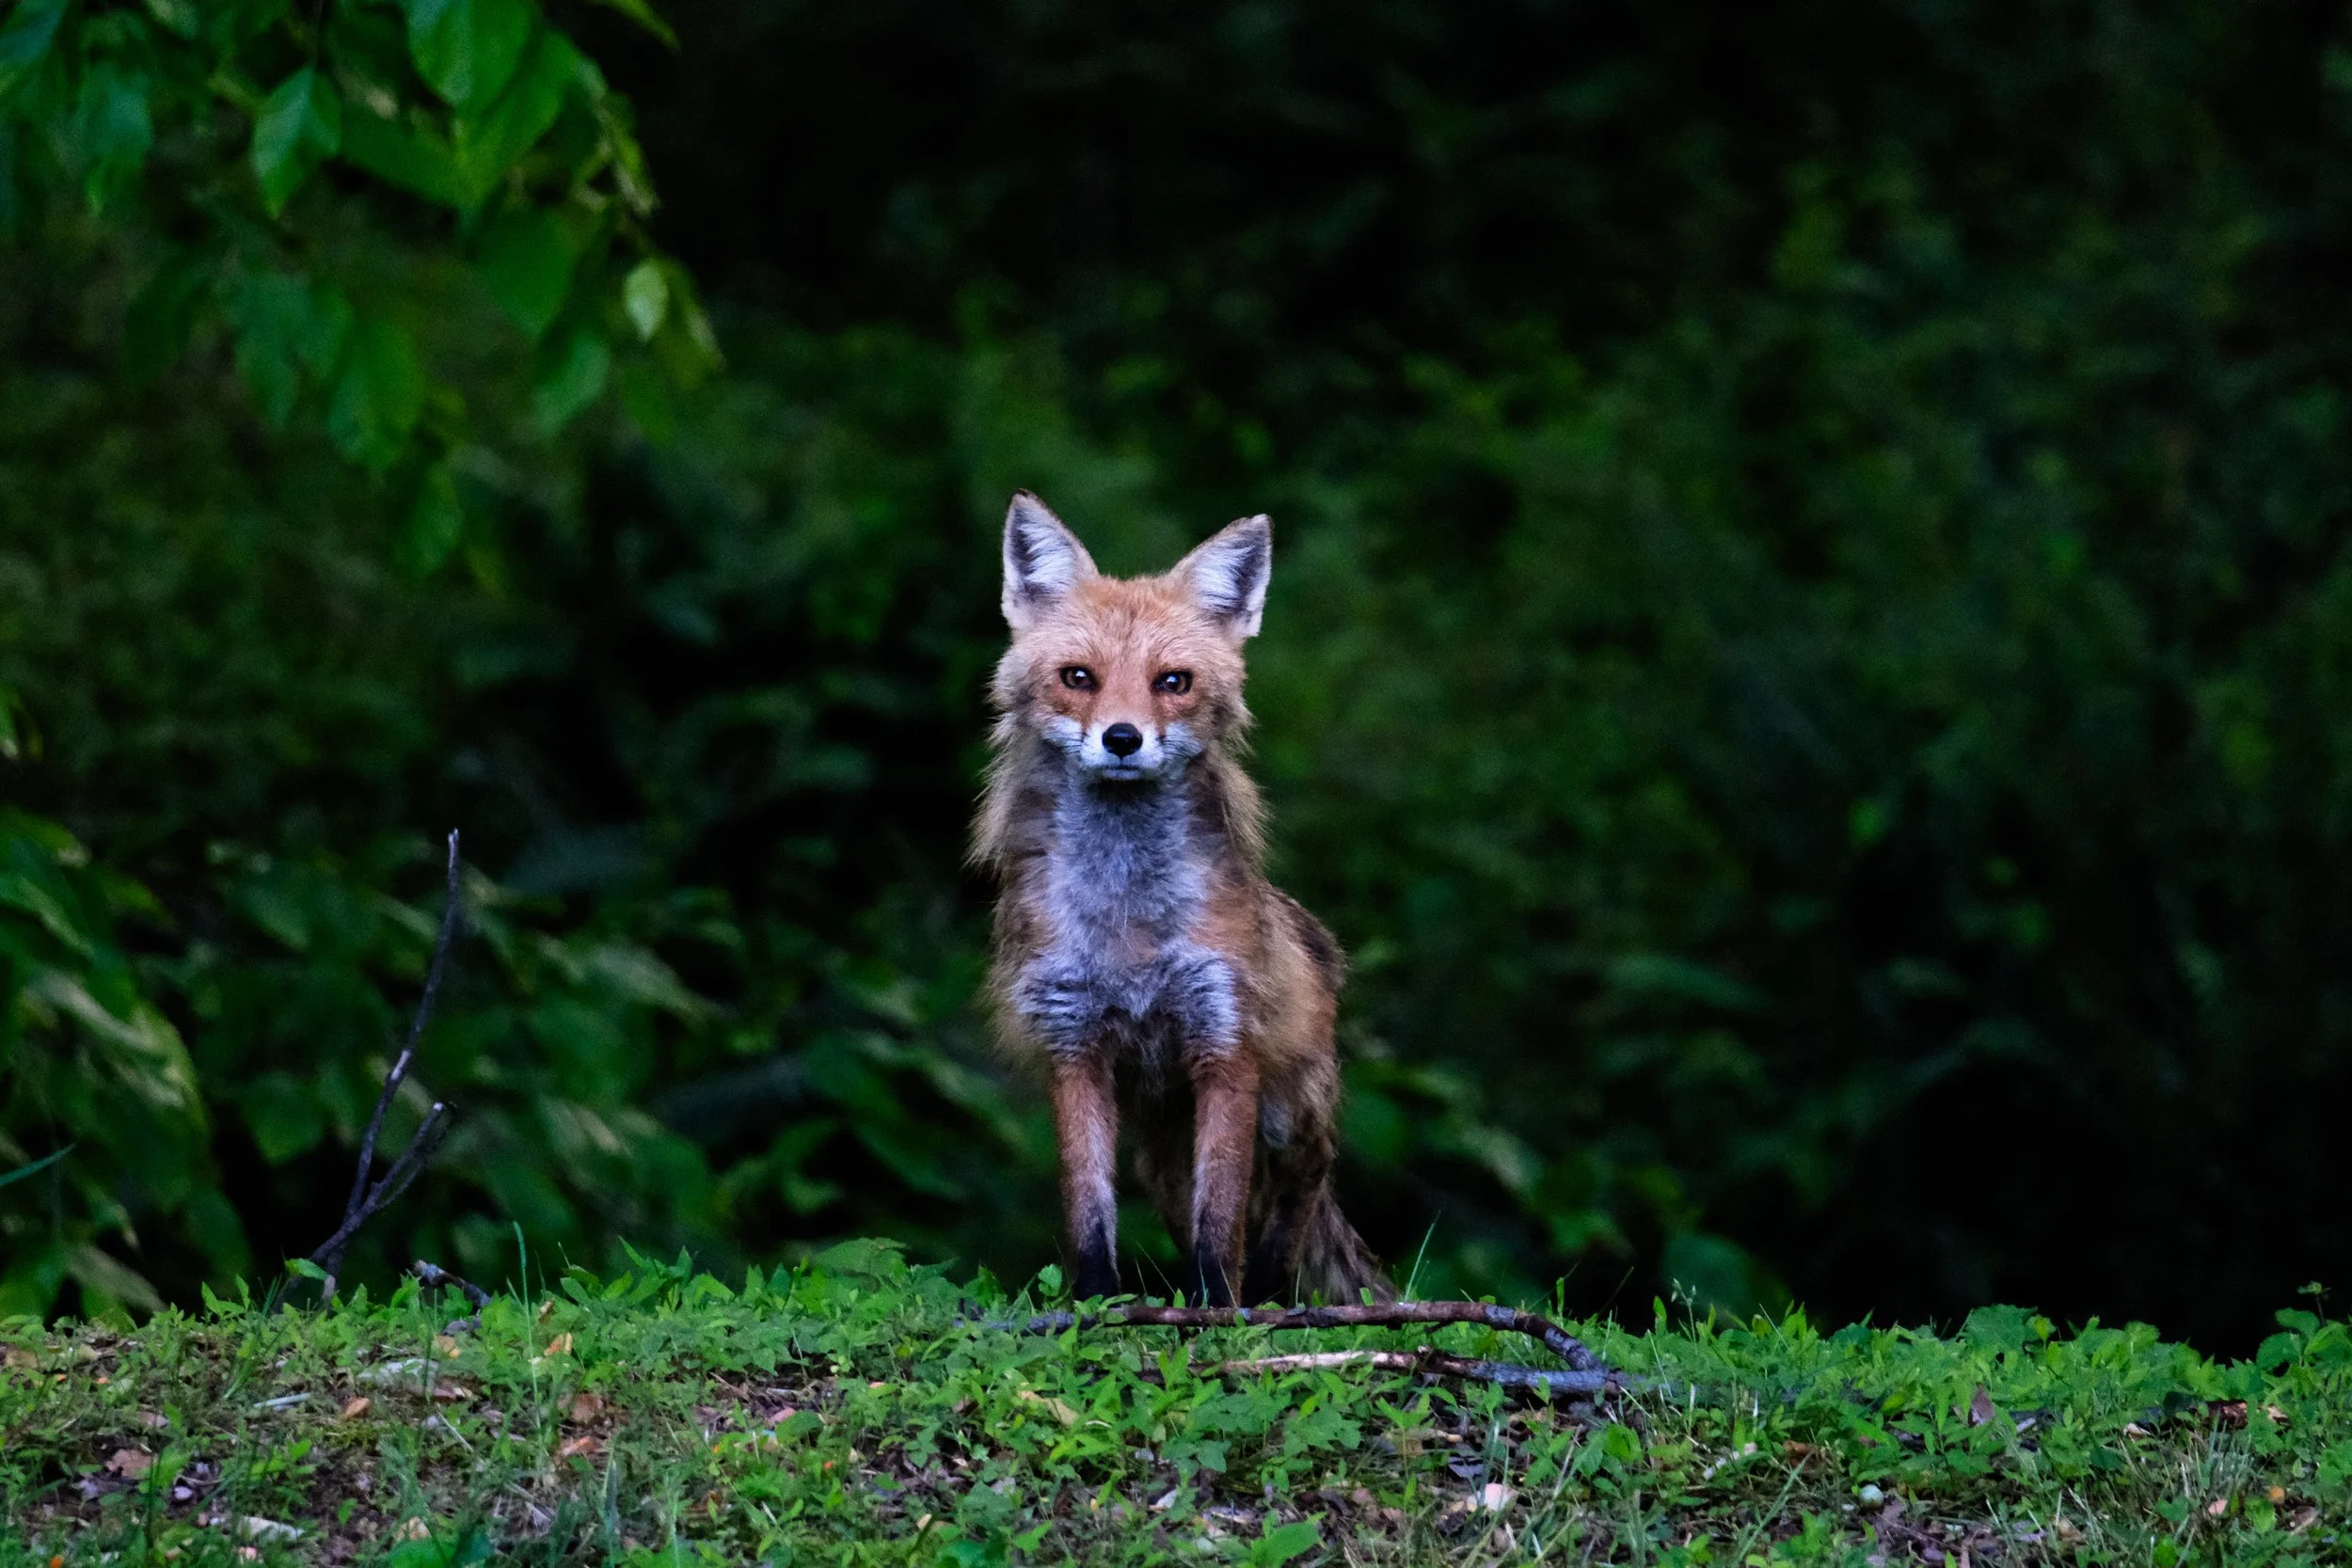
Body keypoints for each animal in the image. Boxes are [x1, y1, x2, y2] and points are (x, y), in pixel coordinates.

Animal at [974, 491, 1389, 1308]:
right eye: (1078, 676)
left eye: (1173, 681)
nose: (1122, 738)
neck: (1129, 925)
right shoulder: (1073, 1043)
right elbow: (1088, 1206)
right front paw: (1095, 1303)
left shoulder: (1225, 1042)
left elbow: (1221, 1215)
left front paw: (1215, 1309)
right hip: (1161, 1148)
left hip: (1288, 1109)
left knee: (1303, 1180)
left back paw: (1268, 1295)